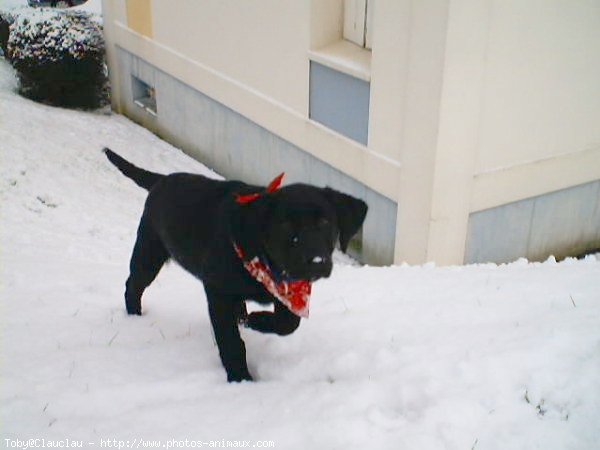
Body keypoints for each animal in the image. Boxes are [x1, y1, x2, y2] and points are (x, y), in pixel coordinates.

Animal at [103, 148, 366, 380]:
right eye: (285, 226)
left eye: (324, 222)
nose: (315, 261)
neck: (262, 259)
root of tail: (161, 180)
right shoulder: (217, 291)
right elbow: (230, 341)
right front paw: (240, 378)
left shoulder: (287, 290)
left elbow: (288, 323)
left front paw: (257, 321)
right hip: (149, 252)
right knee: (132, 285)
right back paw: (135, 317)